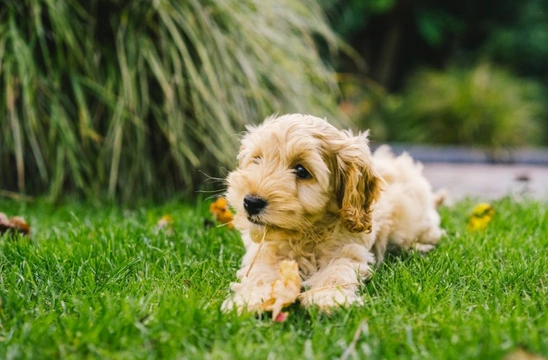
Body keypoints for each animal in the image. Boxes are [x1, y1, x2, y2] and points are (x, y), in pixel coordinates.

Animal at [220, 113, 444, 312]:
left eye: (301, 171)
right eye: (257, 159)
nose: (251, 202)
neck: (304, 234)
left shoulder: (348, 249)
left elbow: (336, 272)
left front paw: (329, 298)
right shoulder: (266, 251)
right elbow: (260, 273)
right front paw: (250, 300)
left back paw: (420, 247)